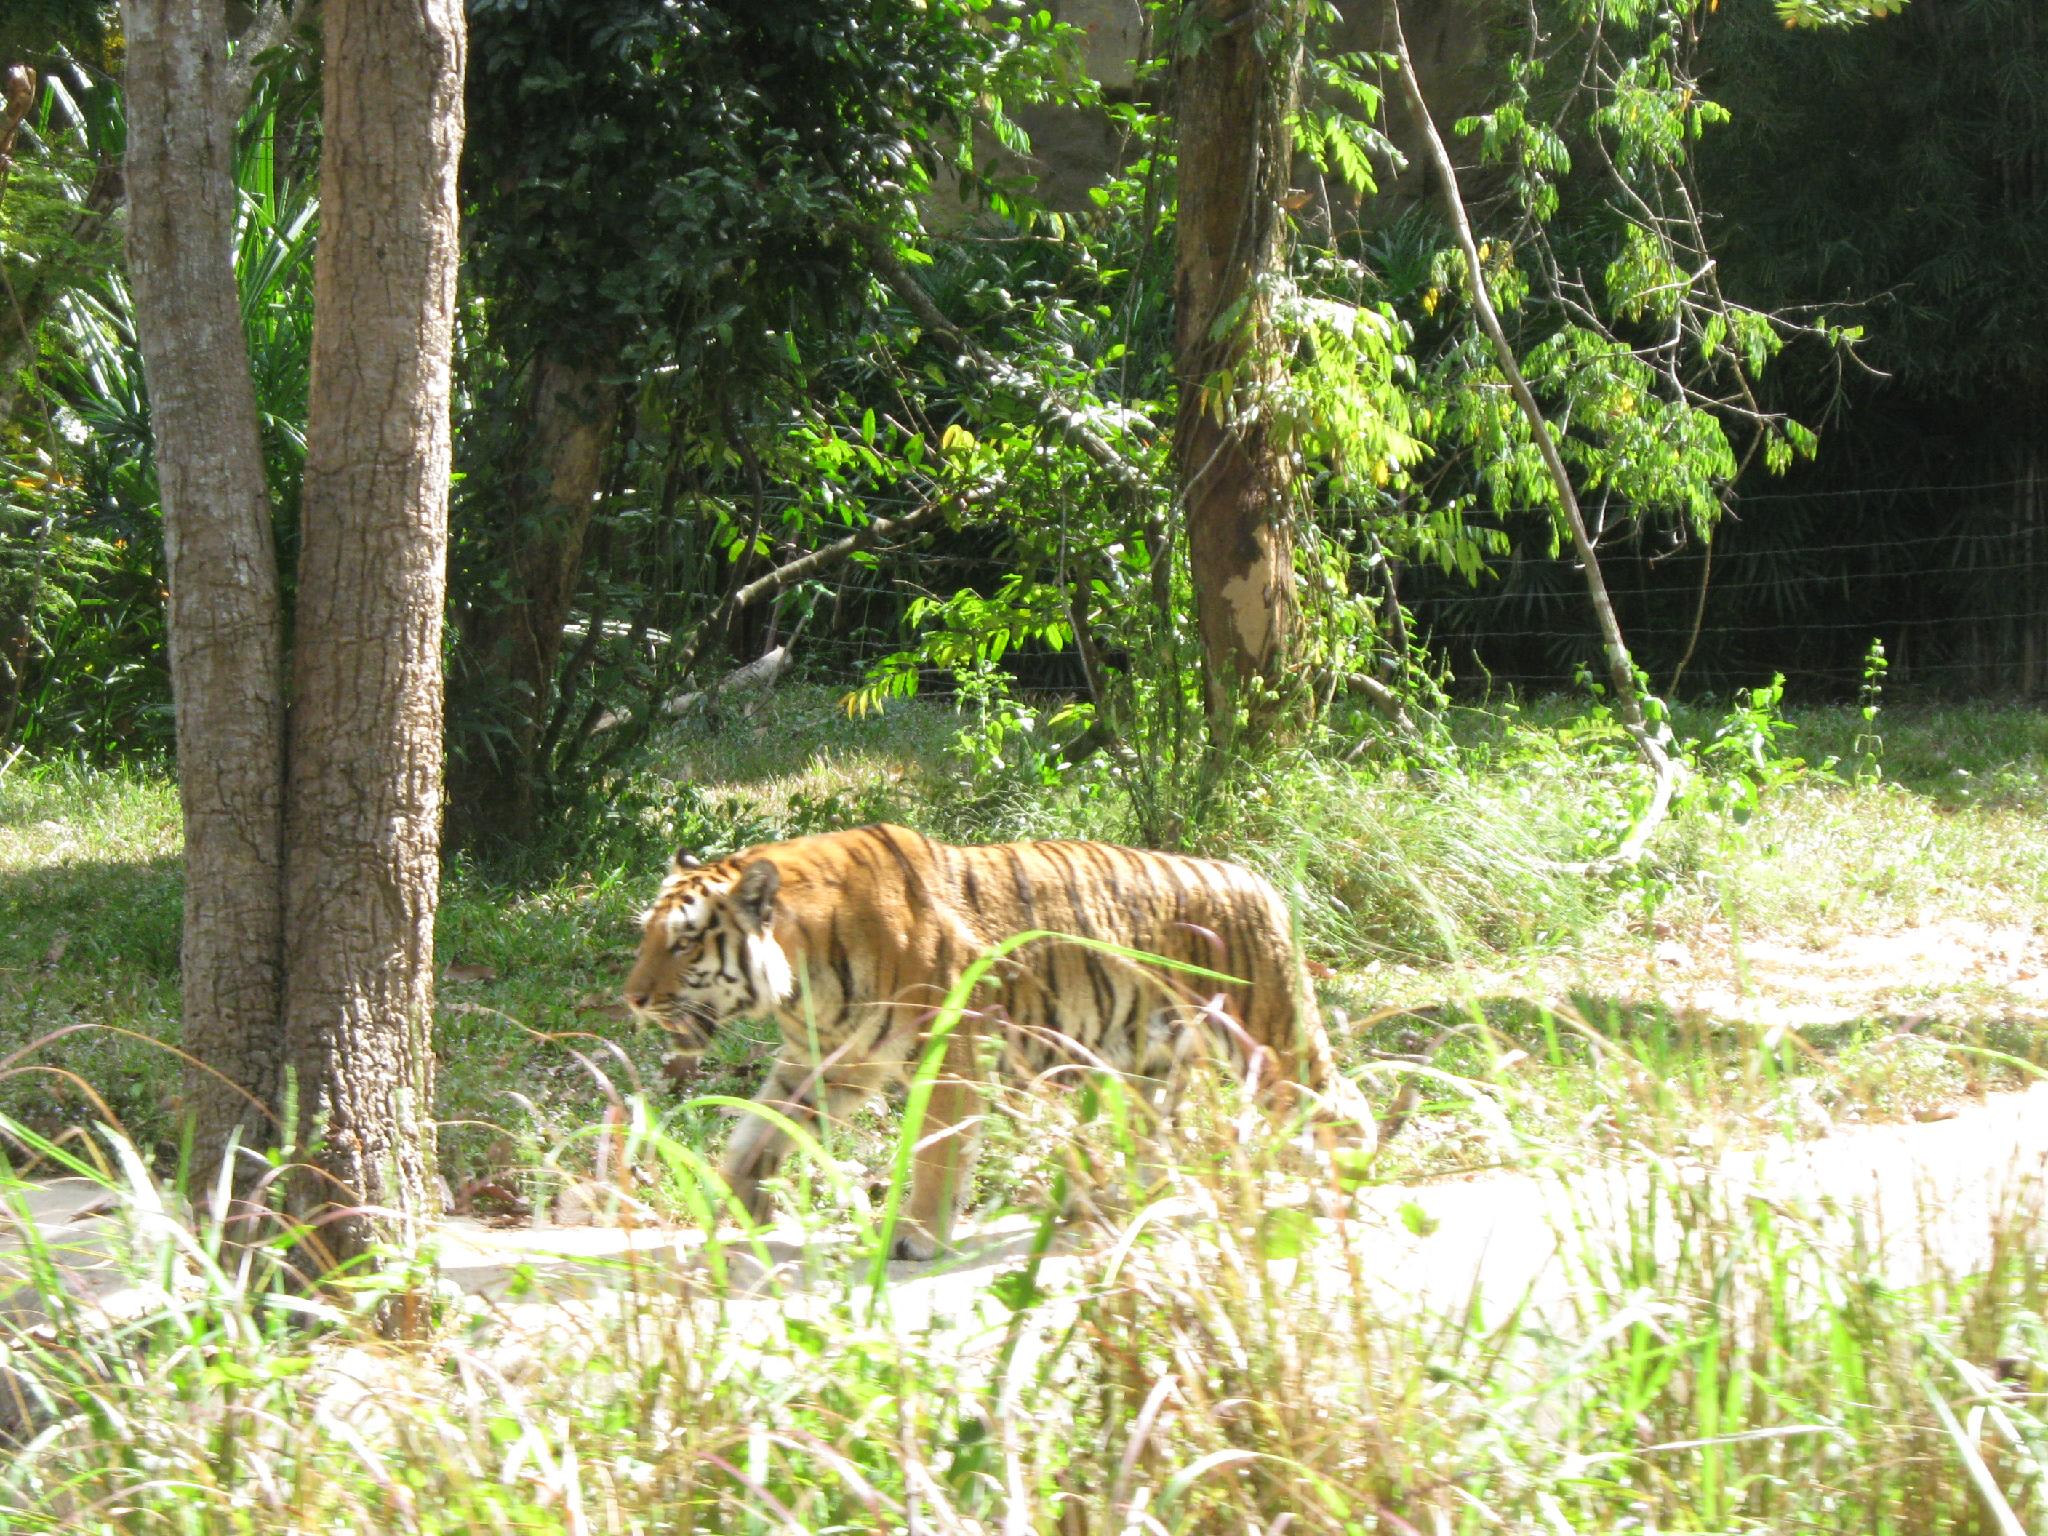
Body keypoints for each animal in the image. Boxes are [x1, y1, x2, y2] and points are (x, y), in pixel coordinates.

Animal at [621, 823, 1368, 1259]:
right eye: (648, 936)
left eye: (684, 944)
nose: (632, 1000)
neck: (800, 976)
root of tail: (1255, 879)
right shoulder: (829, 1062)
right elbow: (759, 1129)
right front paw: (727, 1204)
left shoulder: (948, 1058)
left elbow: (935, 1156)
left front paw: (916, 1237)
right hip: (1146, 1063)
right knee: (1156, 1145)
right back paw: (1105, 1205)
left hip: (1270, 1043)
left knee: (1340, 1103)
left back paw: (1349, 1185)